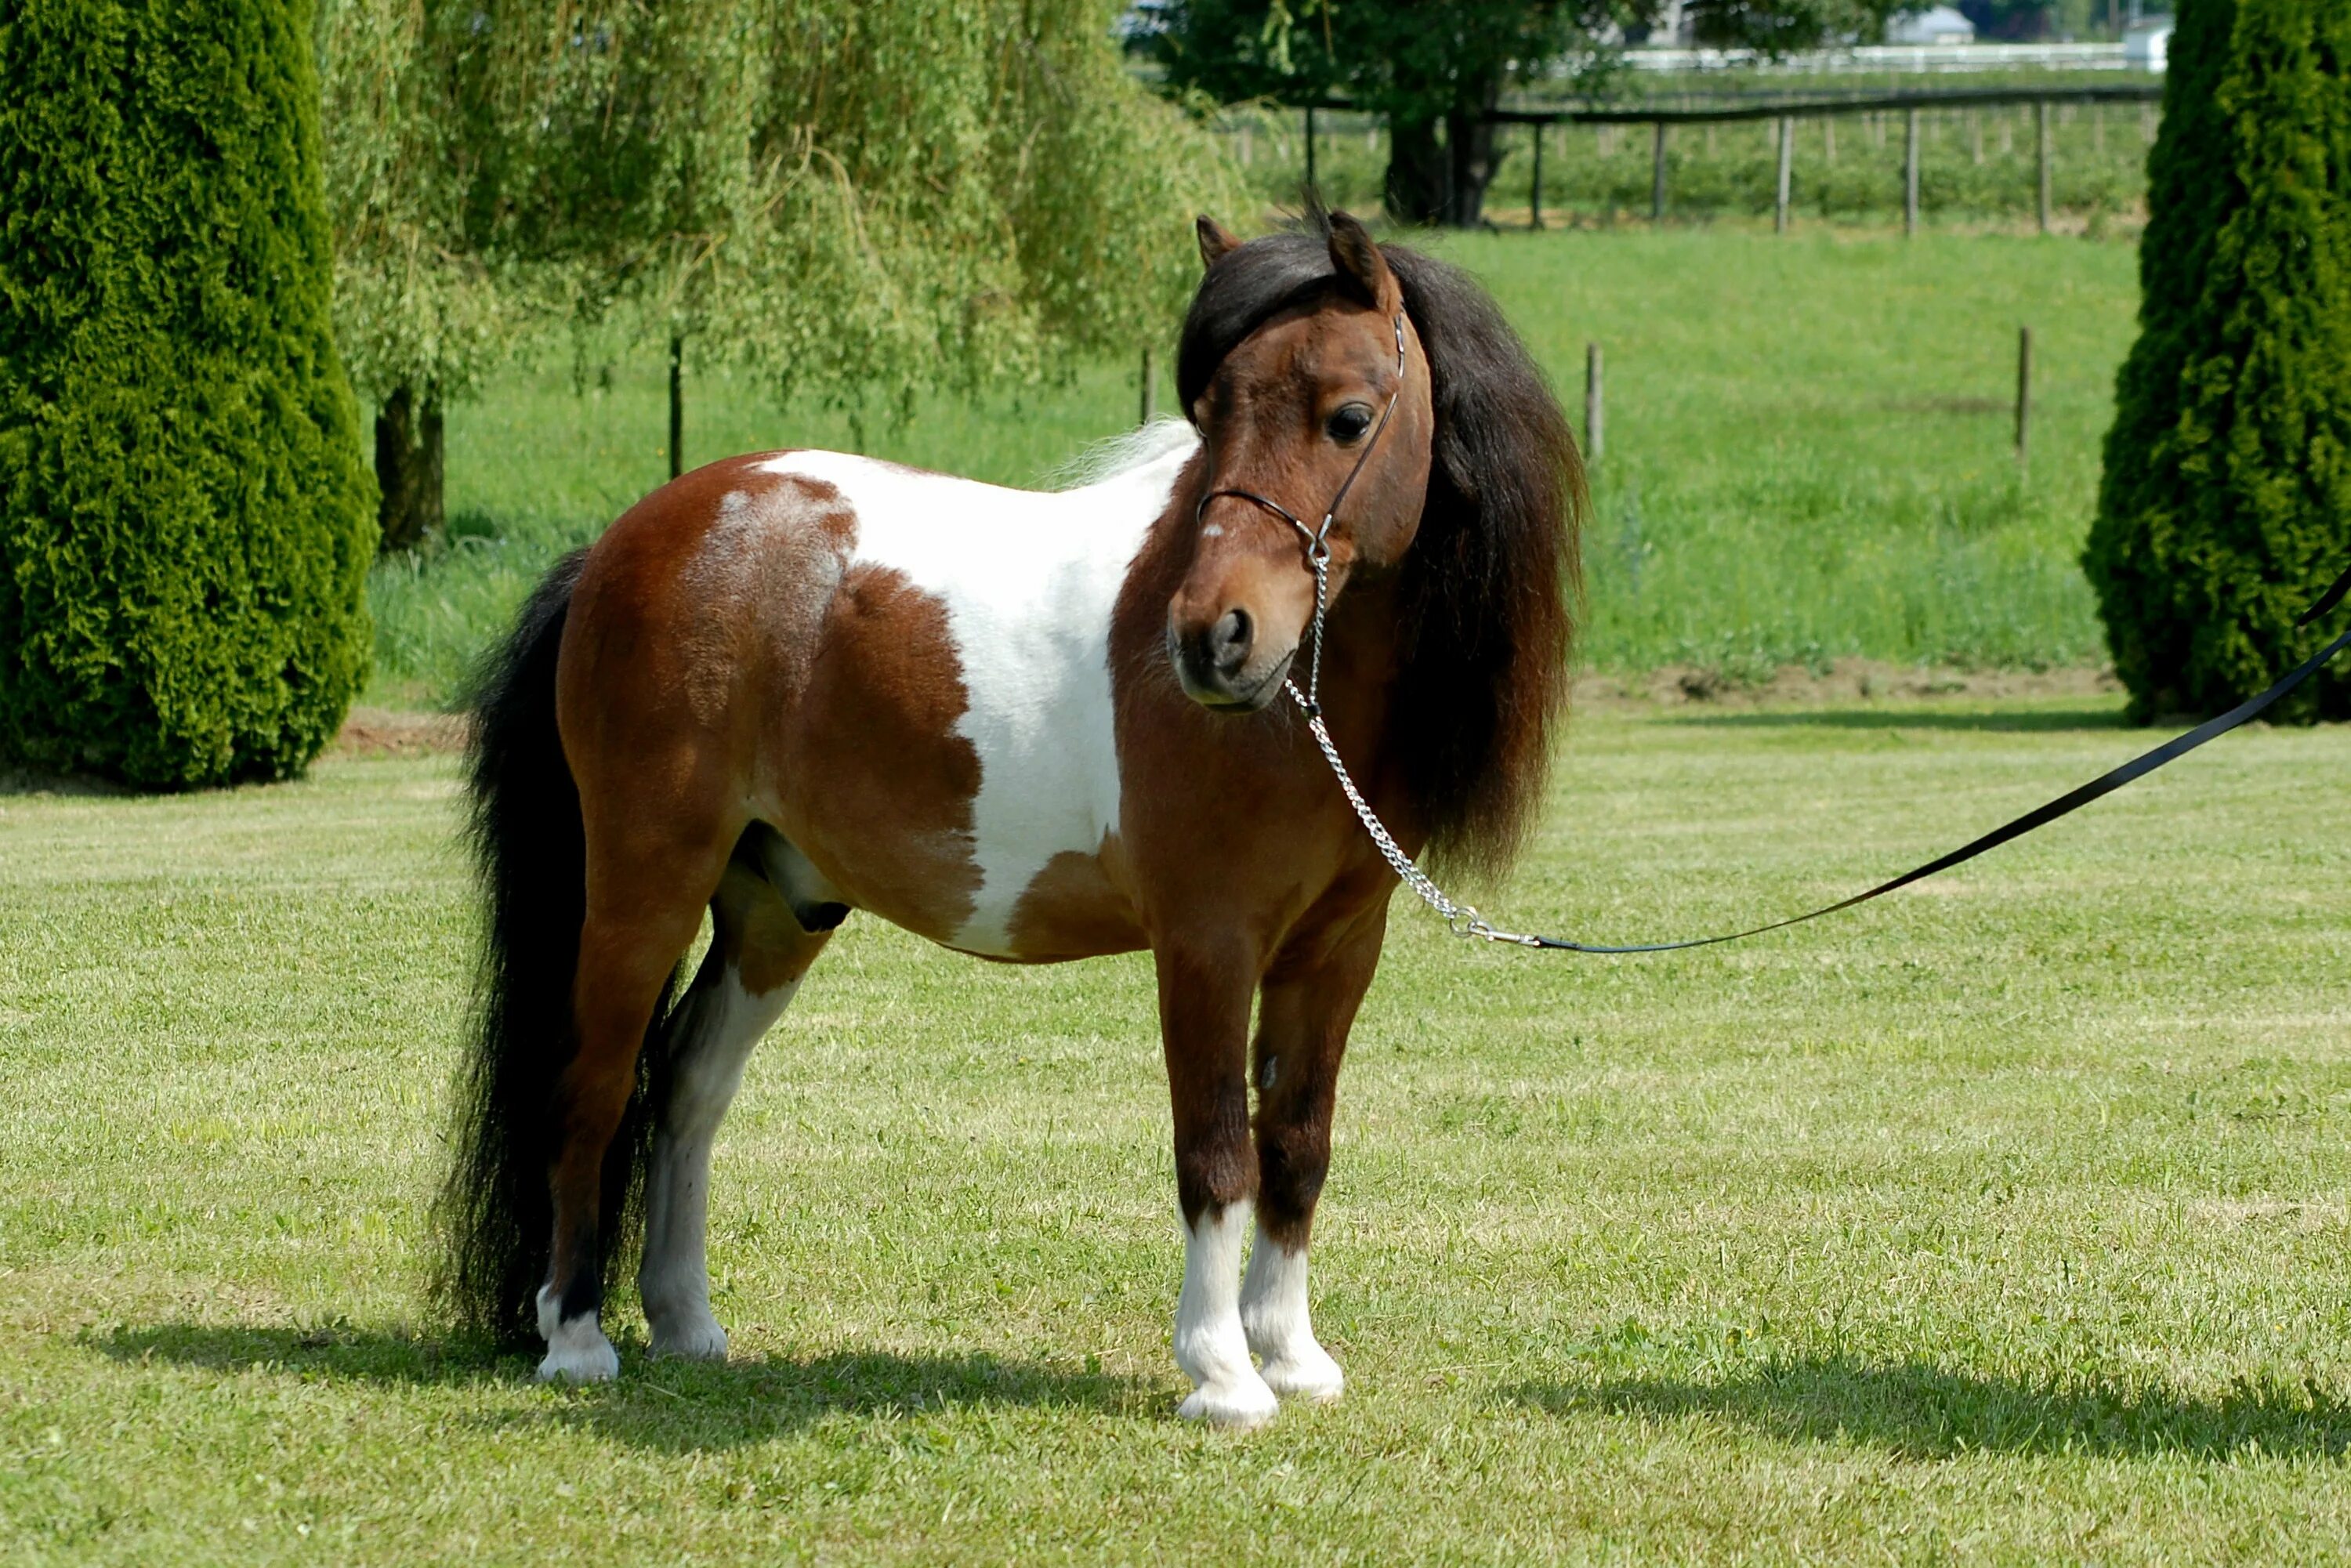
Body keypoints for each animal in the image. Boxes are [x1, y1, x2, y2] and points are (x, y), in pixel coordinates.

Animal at [435, 205, 1589, 1420]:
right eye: (1213, 413)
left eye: (1351, 418)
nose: (1211, 639)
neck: (1293, 712)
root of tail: (628, 542)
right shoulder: (1208, 944)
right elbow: (1216, 1152)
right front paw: (1224, 1376)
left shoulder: (1335, 952)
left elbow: (1297, 1146)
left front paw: (1293, 1357)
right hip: (644, 885)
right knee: (597, 1082)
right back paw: (575, 1339)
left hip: (775, 908)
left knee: (690, 1085)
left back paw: (688, 1325)